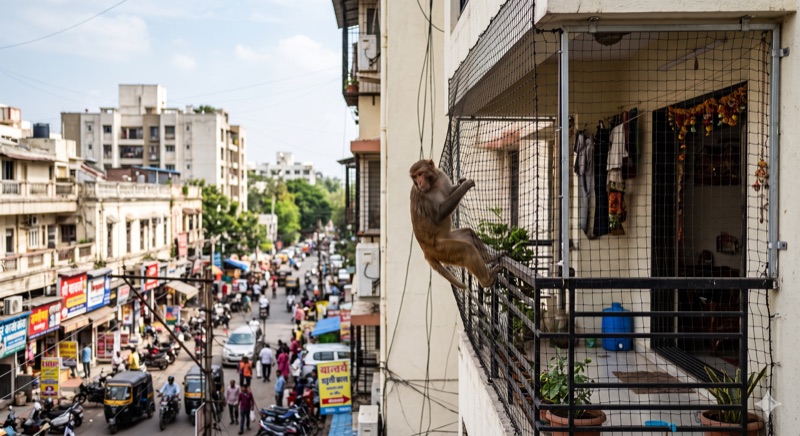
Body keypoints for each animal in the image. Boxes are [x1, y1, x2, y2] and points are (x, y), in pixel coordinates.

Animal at [409, 159, 503, 289]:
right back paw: (487, 281)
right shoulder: (423, 195)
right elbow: (439, 215)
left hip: (448, 239)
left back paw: (489, 258)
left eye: (420, 174)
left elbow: (449, 192)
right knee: (466, 249)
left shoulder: (442, 176)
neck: (434, 183)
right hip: (440, 249)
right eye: (415, 177)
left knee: (468, 233)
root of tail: (426, 251)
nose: (419, 182)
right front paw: (465, 185)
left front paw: (460, 182)